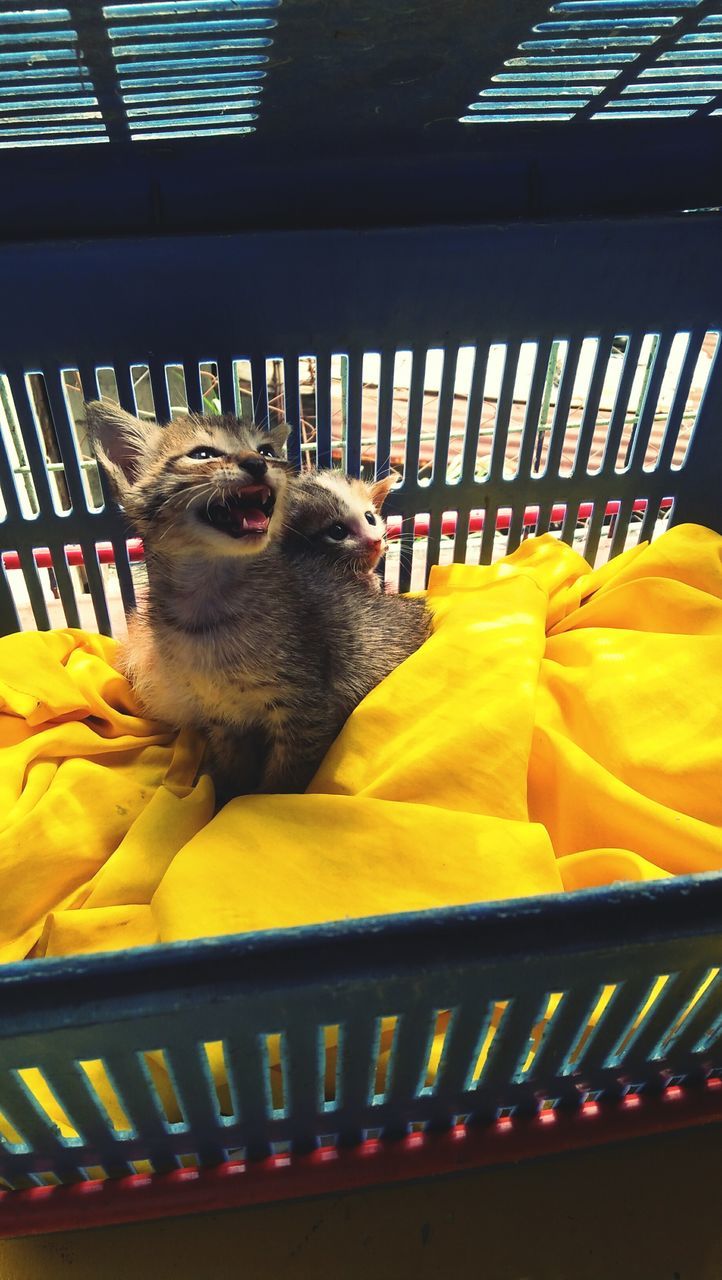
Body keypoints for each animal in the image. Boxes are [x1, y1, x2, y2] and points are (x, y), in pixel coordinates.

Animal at [87, 401, 432, 798]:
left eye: (266, 451)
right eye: (202, 454)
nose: (257, 463)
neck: (209, 609)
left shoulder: (306, 707)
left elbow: (281, 780)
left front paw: (254, 804)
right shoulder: (220, 711)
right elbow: (233, 763)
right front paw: (222, 796)